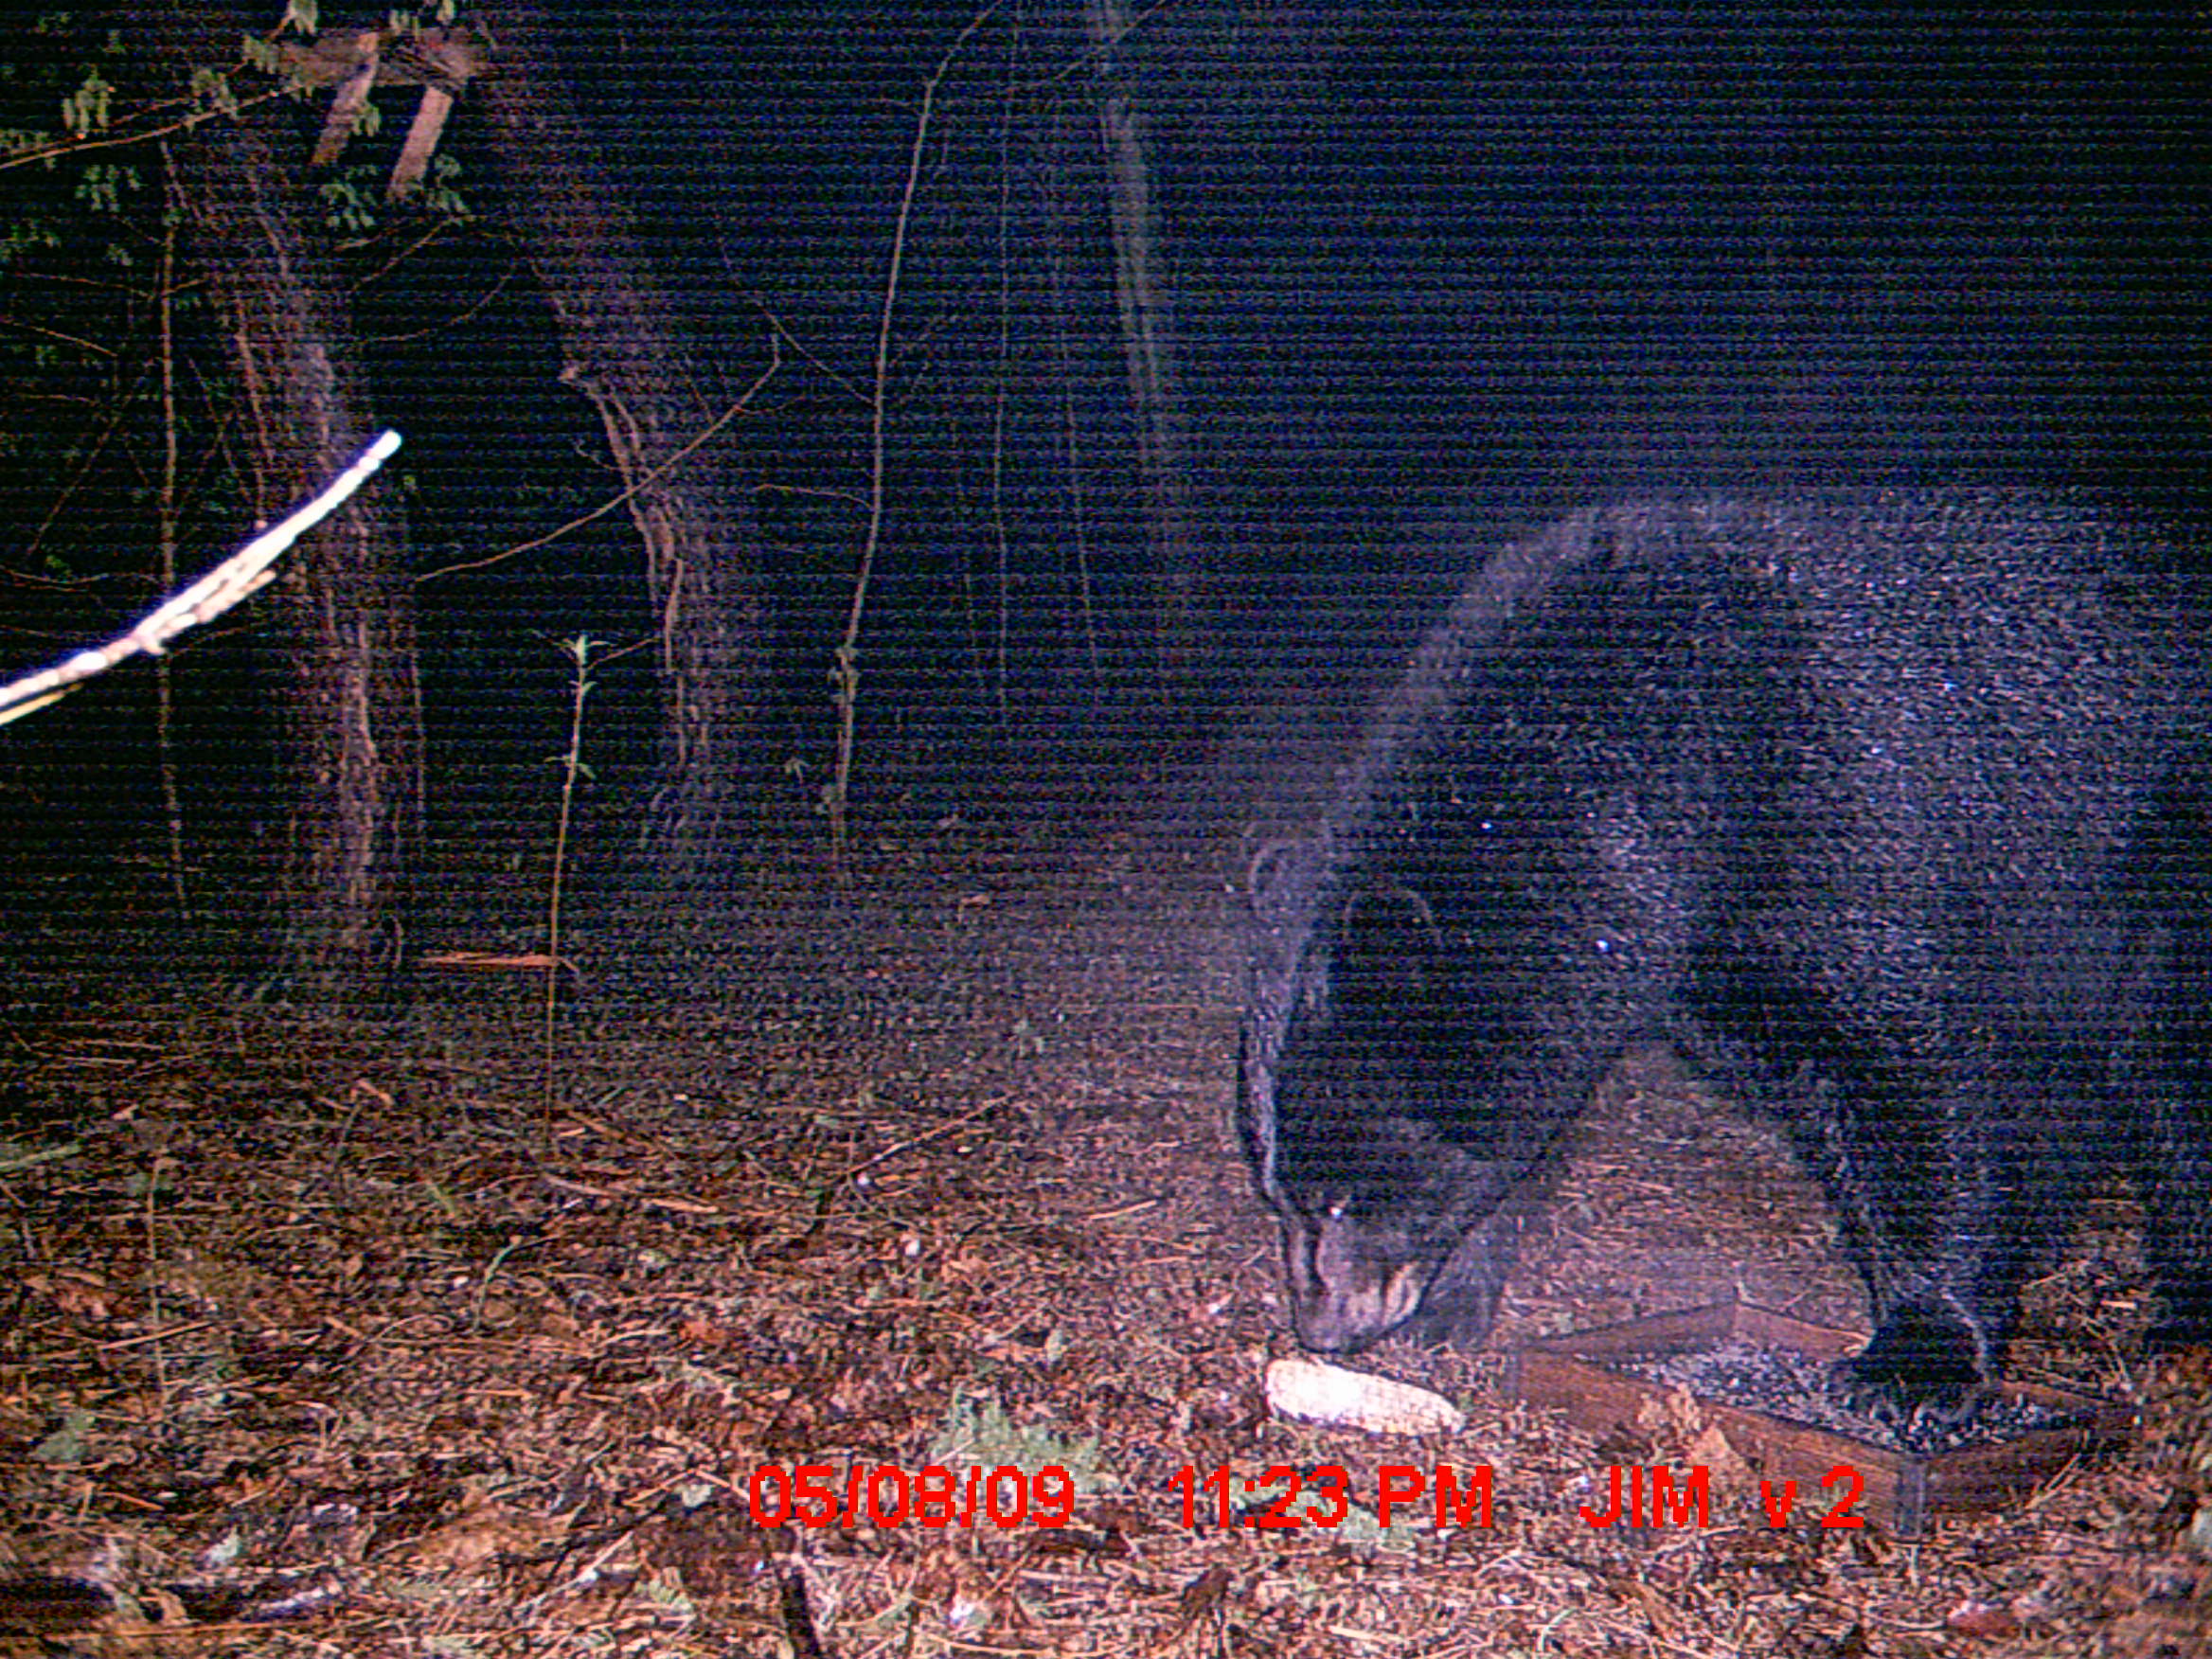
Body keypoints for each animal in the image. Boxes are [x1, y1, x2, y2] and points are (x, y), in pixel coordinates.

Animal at [1237, 491, 2212, 1418]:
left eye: (1342, 1197)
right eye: (1277, 1193)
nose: (1322, 1330)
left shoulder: (1839, 823)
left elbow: (1894, 1068)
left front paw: (1917, 1358)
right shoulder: (1673, 951)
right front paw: (1456, 1297)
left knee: (2170, 1070)